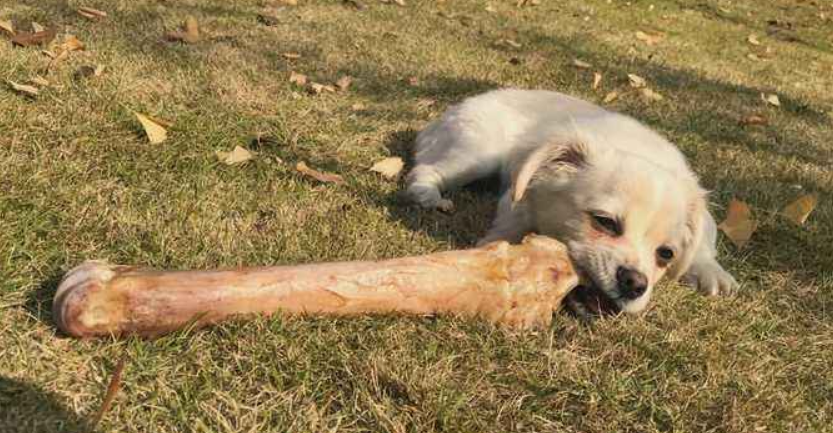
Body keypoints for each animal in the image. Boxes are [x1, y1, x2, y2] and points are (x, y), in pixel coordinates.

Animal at [406, 89, 736, 316]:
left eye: (666, 254)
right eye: (605, 221)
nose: (635, 283)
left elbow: (703, 248)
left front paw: (712, 273)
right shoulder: (521, 191)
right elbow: (509, 223)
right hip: (479, 153)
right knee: (425, 171)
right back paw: (427, 195)